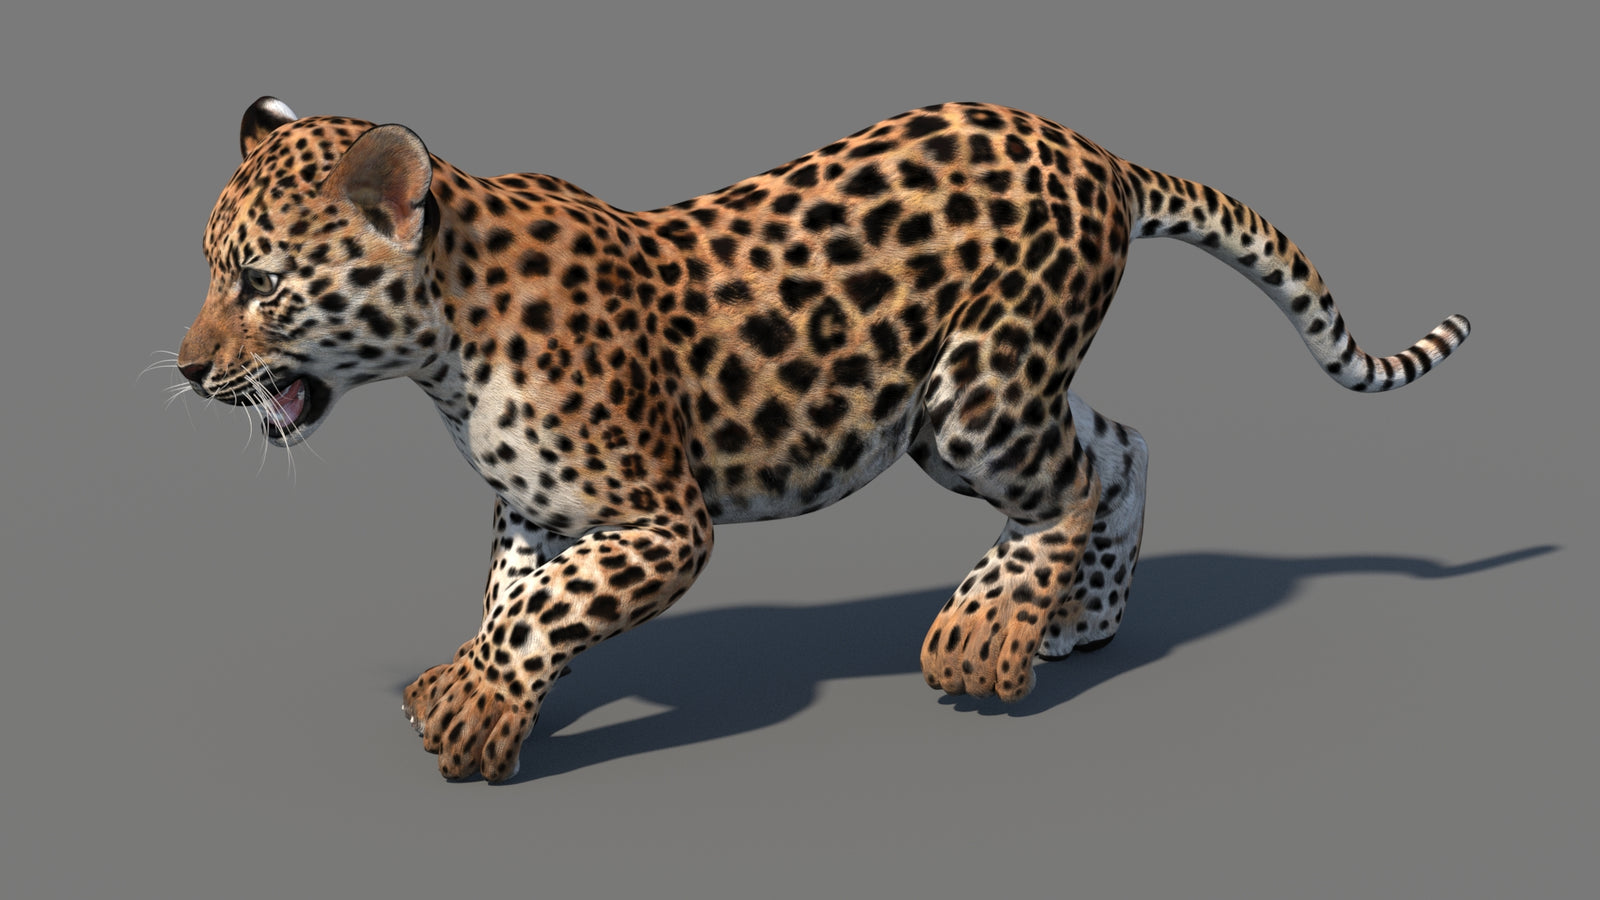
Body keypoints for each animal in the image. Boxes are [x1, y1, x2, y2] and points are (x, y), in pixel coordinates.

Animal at [175, 96, 1470, 782]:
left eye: (259, 283)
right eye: (211, 270)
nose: (189, 371)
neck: (443, 348)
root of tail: (1095, 150)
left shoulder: (662, 518)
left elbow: (546, 611)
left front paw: (471, 706)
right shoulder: (534, 510)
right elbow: (516, 600)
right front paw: (485, 692)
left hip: (972, 401)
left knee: (1067, 477)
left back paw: (987, 635)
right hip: (1001, 384)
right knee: (1121, 441)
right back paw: (1080, 623)